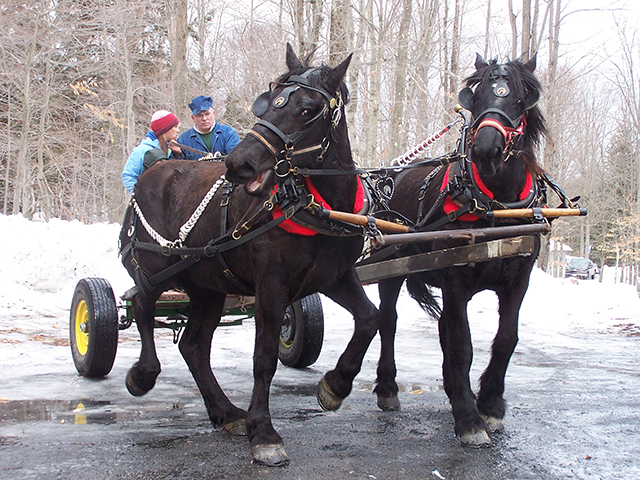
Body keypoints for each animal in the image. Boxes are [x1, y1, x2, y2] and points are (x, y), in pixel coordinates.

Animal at [119, 44, 379, 466]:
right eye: (268, 103)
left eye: (307, 109)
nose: (237, 162)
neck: (317, 205)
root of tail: (152, 172)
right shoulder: (271, 287)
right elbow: (265, 357)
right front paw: (265, 432)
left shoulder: (335, 276)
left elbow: (370, 319)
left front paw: (335, 386)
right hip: (156, 267)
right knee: (142, 306)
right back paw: (143, 375)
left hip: (207, 286)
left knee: (193, 346)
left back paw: (225, 411)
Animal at [372, 53, 547, 447]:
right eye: (475, 98)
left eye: (520, 99)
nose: (486, 150)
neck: (496, 206)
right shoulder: (455, 280)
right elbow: (463, 346)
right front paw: (469, 419)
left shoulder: (519, 280)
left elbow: (505, 339)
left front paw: (491, 405)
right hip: (393, 266)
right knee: (389, 321)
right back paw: (388, 386)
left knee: (443, 329)